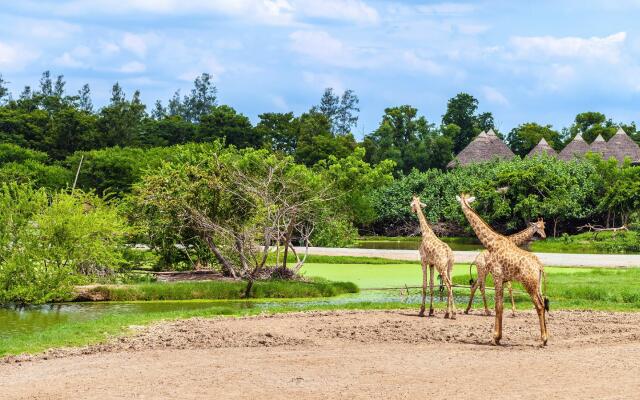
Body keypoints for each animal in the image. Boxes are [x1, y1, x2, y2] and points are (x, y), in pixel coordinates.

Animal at [456, 195, 552, 346]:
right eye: (540, 227)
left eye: (544, 226)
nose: (543, 236)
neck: (492, 243)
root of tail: (540, 266)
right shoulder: (503, 278)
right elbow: (501, 304)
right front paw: (498, 336)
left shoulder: (498, 276)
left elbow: (499, 306)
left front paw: (495, 337)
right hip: (535, 284)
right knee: (476, 286)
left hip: (528, 284)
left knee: (540, 305)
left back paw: (543, 339)